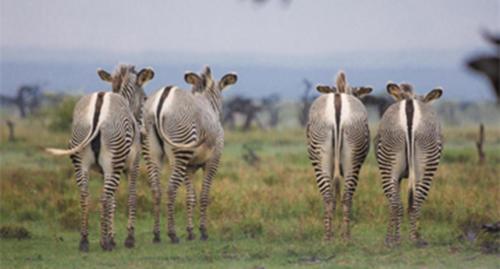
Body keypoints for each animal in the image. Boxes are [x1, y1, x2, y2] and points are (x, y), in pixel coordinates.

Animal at [46, 63, 154, 250]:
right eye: (146, 98)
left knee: (85, 196)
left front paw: (112, 236)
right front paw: (128, 238)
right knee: (103, 198)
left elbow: (113, 201)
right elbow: (130, 198)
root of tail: (99, 107)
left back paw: (84, 241)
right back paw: (104, 244)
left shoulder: (106, 170)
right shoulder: (133, 165)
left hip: (82, 158)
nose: (143, 132)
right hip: (113, 159)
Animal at [142, 65, 237, 243]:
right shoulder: (213, 161)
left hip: (152, 151)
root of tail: (162, 99)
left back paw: (157, 234)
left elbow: (190, 197)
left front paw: (191, 232)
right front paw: (203, 232)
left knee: (156, 189)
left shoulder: (190, 166)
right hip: (181, 149)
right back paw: (172, 234)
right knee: (171, 189)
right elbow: (204, 196)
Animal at [306, 71, 374, 241]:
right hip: (351, 157)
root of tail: (338, 100)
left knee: (331, 197)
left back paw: (333, 236)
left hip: (323, 155)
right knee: (343, 197)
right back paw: (341, 236)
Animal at [374, 82, 444, 247]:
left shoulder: (399, 176)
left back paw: (394, 240)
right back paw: (413, 238)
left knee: (396, 203)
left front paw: (392, 237)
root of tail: (410, 104)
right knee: (415, 202)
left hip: (389, 160)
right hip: (426, 157)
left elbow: (395, 201)